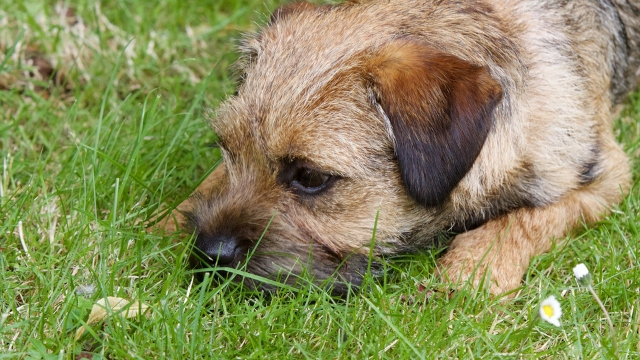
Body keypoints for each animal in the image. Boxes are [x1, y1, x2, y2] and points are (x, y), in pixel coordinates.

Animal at [161, 0, 640, 296]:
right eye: (226, 148)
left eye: (311, 177)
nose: (210, 254)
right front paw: (165, 220)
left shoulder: (605, 172)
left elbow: (527, 218)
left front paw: (475, 269)